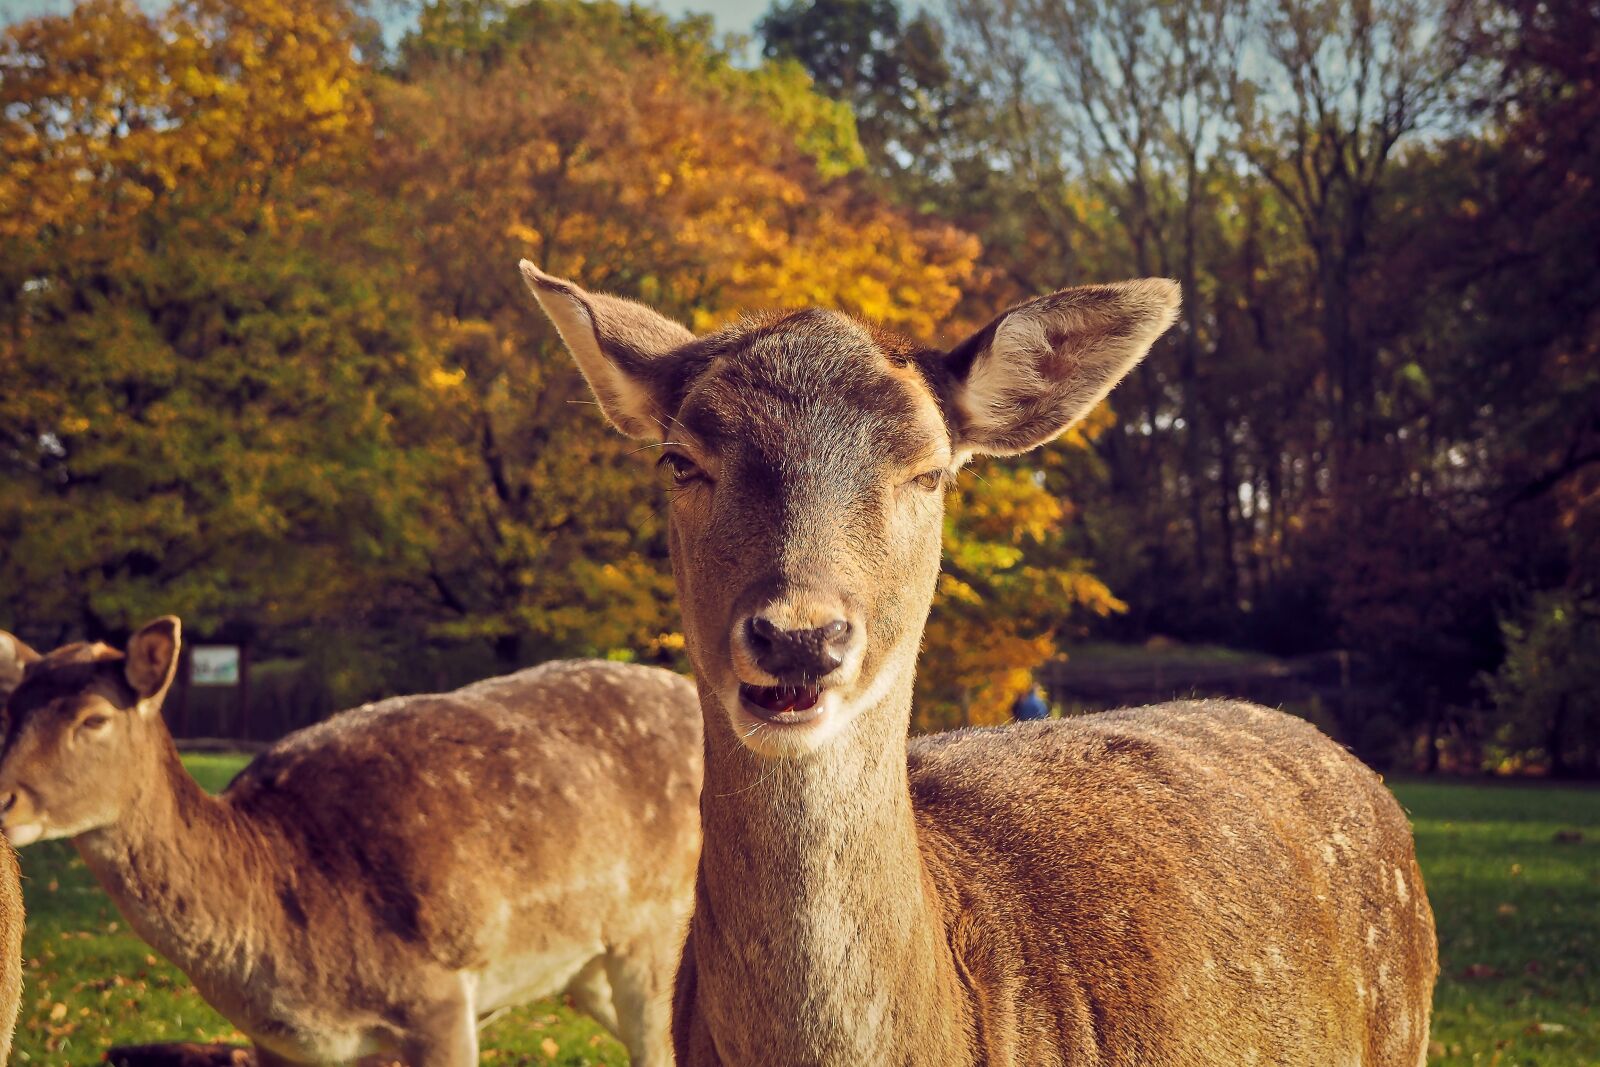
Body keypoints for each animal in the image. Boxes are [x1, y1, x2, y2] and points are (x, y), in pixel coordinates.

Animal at [0, 619, 702, 1066]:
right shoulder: (282, 1046)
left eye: (94, 719)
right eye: (10, 712)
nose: (5, 797)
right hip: (584, 964)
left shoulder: (439, 1000)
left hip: (657, 925)